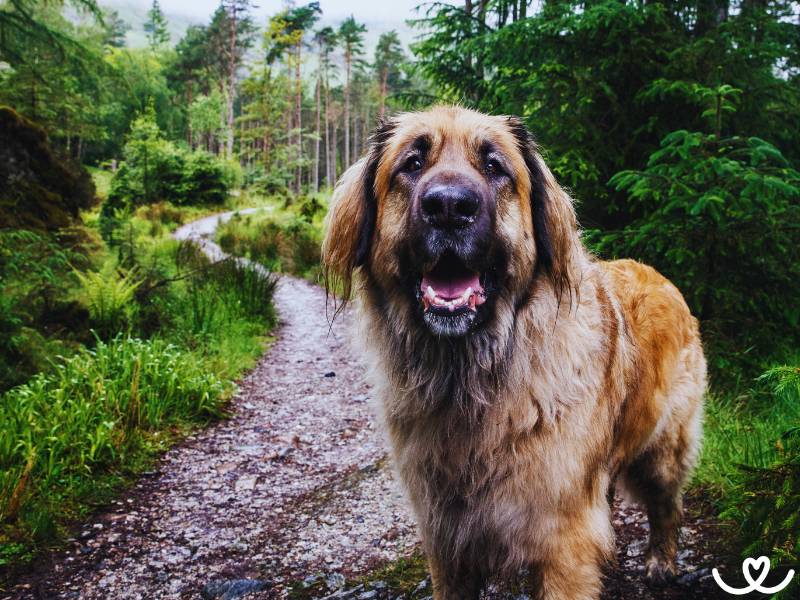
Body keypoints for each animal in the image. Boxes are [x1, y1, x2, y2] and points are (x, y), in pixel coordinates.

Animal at [318, 108, 708, 600]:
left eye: (494, 166)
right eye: (412, 163)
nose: (449, 208)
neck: (472, 379)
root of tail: (659, 275)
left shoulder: (562, 540)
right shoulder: (446, 540)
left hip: (663, 451)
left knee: (667, 507)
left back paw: (661, 562)